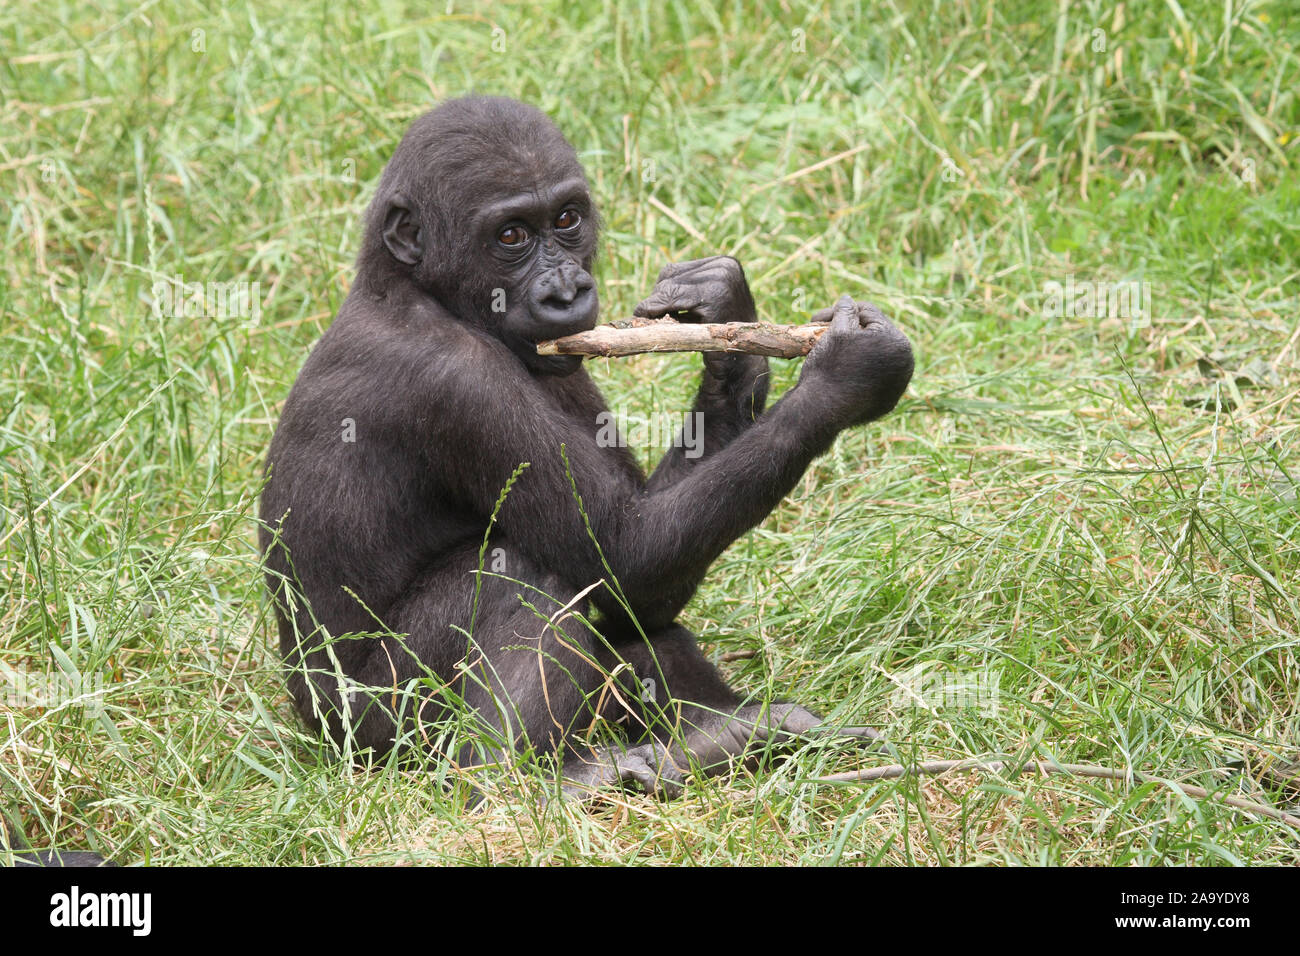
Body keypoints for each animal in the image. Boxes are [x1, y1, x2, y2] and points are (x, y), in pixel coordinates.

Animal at [256, 97, 915, 801]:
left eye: (567, 220)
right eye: (510, 237)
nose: (568, 291)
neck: (411, 287)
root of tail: (312, 728)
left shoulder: (566, 357)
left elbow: (643, 576)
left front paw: (723, 310)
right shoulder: (453, 379)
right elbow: (626, 553)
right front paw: (848, 377)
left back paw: (732, 732)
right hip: (373, 733)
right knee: (525, 573)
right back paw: (518, 777)